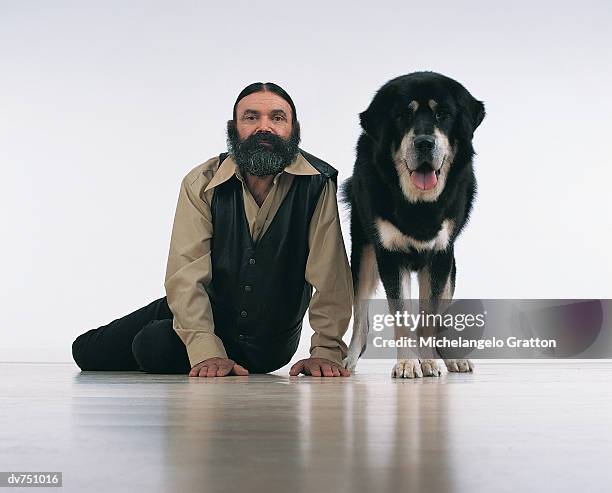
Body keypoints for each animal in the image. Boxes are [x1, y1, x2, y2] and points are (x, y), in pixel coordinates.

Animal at [342, 71, 486, 374]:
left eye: (443, 114)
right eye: (402, 115)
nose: (424, 143)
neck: (418, 204)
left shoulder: (440, 256)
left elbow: (429, 318)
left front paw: (428, 361)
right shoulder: (390, 254)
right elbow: (402, 317)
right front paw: (408, 363)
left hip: (450, 267)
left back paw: (451, 358)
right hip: (363, 255)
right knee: (360, 318)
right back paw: (347, 361)